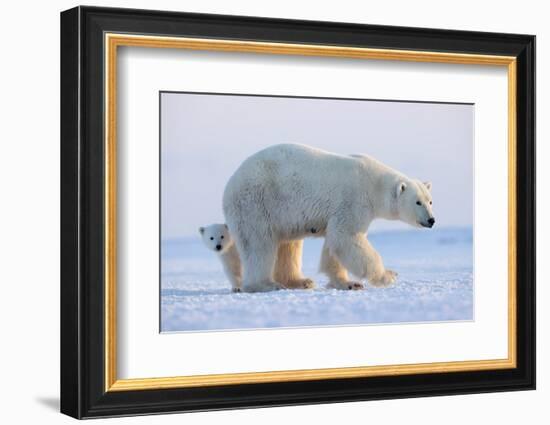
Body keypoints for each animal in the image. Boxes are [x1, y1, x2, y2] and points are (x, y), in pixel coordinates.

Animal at [223, 142, 436, 292]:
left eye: (430, 201)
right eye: (417, 202)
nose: (431, 220)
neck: (373, 183)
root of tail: (229, 184)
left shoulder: (339, 211)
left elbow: (334, 245)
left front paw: (347, 283)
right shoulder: (353, 200)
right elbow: (346, 237)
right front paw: (388, 276)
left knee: (288, 245)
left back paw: (301, 281)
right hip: (256, 202)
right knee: (259, 244)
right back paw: (265, 284)